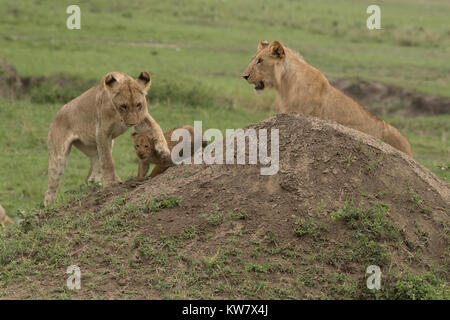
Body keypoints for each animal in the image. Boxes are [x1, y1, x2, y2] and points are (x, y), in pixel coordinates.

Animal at [44, 70, 171, 205]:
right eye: (123, 106)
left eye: (138, 105)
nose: (132, 124)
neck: (117, 114)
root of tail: (56, 116)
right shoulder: (102, 132)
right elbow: (108, 161)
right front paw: (112, 182)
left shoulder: (141, 119)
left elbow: (156, 128)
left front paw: (164, 150)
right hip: (59, 158)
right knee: (50, 189)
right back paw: (50, 205)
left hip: (96, 150)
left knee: (90, 178)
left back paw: (96, 188)